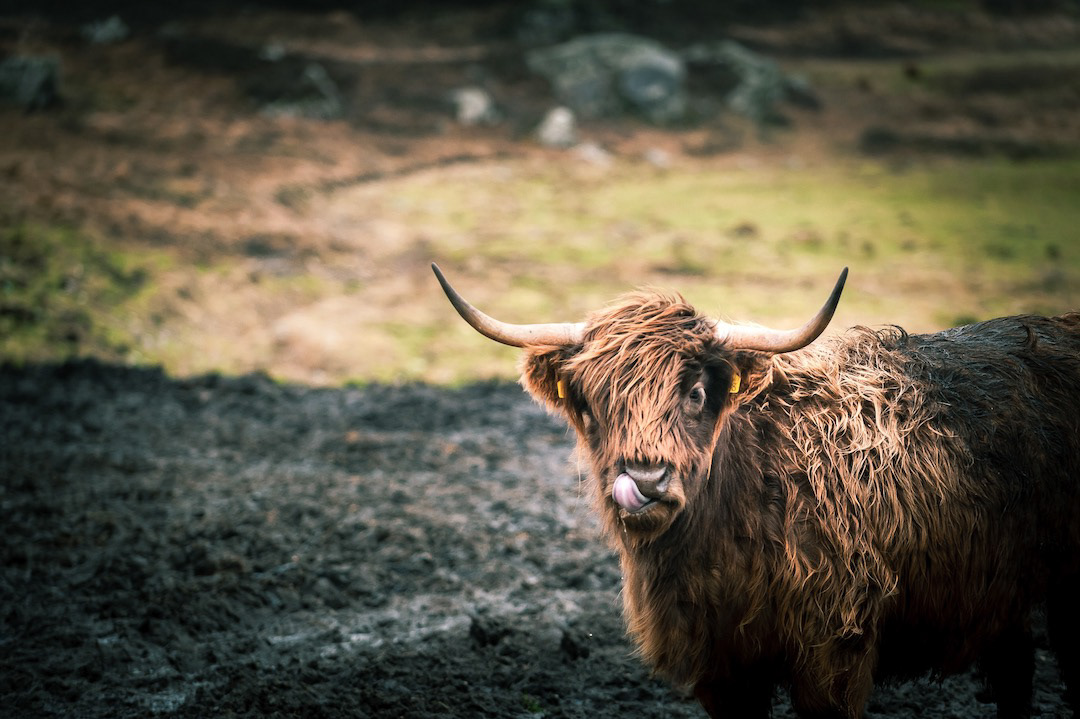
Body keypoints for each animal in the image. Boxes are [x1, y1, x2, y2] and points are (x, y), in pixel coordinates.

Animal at [431, 263, 1080, 719]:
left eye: (695, 392)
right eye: (593, 402)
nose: (645, 481)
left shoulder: (835, 655)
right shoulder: (722, 672)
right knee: (1015, 675)